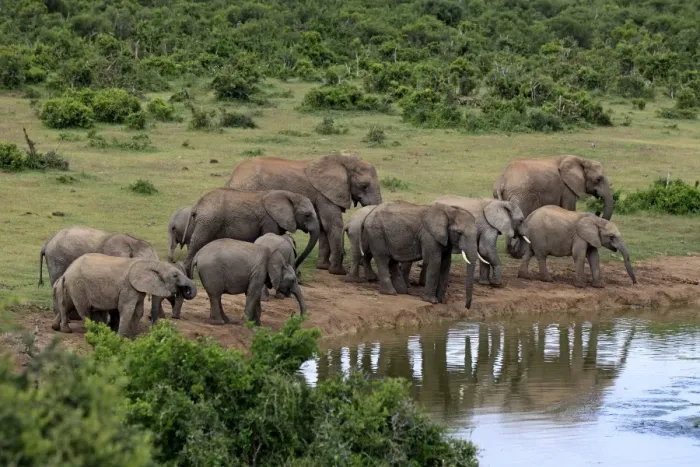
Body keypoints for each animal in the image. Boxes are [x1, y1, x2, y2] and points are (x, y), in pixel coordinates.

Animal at [52, 253, 197, 338]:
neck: (150, 263)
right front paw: (120, 338)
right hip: (78, 285)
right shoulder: (128, 287)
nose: (186, 290)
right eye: (175, 275)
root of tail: (67, 271)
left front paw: (134, 336)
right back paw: (94, 331)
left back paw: (60, 329)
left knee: (68, 305)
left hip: (72, 285)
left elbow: (139, 310)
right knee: (83, 309)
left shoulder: (137, 289)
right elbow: (126, 309)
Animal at [182, 189, 320, 278]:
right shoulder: (269, 220)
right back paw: (189, 276)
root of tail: (197, 205)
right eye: (307, 215)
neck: (291, 195)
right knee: (198, 242)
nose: (298, 273)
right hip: (208, 221)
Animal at [225, 152, 383, 275]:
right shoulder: (325, 194)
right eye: (364, 186)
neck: (344, 161)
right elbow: (332, 224)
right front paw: (338, 272)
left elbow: (323, 226)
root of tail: (232, 176)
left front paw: (323, 267)